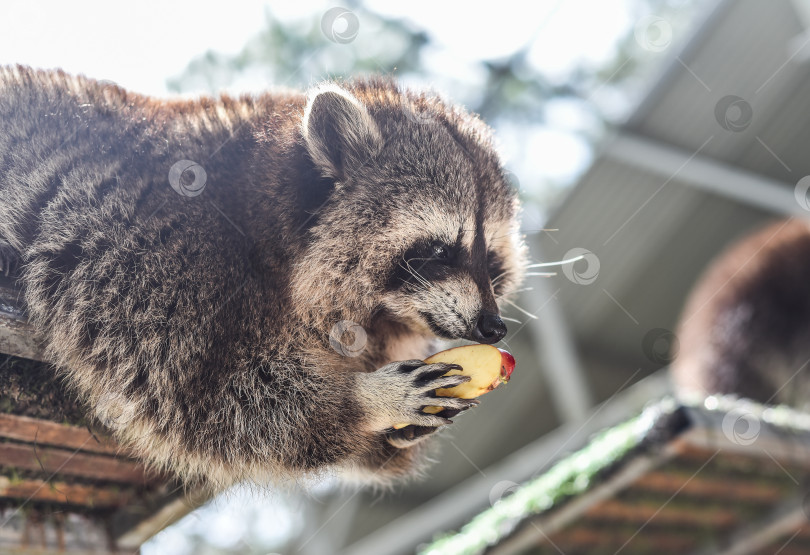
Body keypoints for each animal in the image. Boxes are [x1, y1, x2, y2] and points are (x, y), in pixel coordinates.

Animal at [0, 66, 524, 490]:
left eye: (492, 261)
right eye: (439, 250)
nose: (493, 326)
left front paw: (391, 437)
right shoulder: (158, 247)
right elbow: (203, 393)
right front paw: (362, 401)